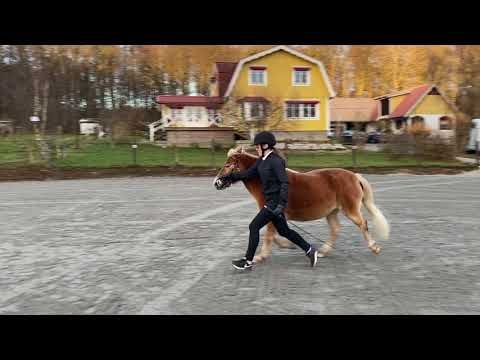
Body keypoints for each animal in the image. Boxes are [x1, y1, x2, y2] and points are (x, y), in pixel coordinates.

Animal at [214, 146, 390, 262]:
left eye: (228, 165)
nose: (217, 182)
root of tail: (354, 176)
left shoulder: (271, 213)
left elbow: (269, 235)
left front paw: (260, 256)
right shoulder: (275, 216)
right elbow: (273, 233)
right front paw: (287, 245)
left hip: (350, 210)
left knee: (363, 224)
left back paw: (374, 247)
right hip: (331, 212)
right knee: (335, 229)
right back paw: (322, 252)